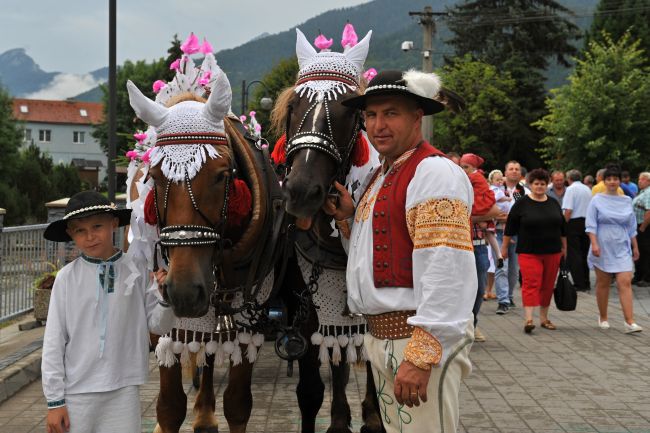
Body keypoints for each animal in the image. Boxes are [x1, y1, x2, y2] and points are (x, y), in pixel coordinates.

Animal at [268, 29, 384, 432]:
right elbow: (310, 390)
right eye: (292, 106)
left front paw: (370, 416)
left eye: (350, 110)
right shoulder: (303, 312)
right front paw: (336, 417)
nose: (301, 192)